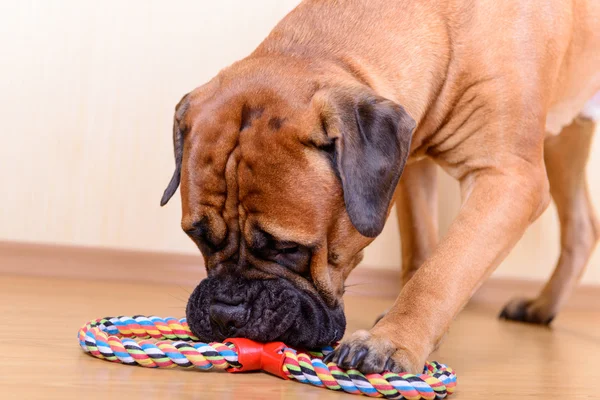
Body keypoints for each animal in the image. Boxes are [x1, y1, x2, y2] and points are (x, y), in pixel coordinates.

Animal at [159, 0, 600, 376]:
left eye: (289, 249)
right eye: (198, 237)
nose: (226, 313)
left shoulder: (508, 177)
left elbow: (443, 270)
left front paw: (389, 341)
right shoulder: (409, 167)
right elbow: (421, 254)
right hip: (566, 136)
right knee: (582, 228)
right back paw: (542, 306)